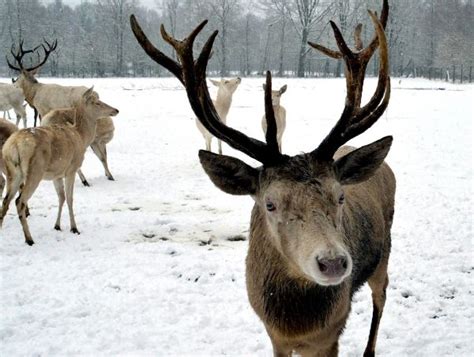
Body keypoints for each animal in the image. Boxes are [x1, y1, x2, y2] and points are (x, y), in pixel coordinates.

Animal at [0, 86, 118, 245]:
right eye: (97, 102)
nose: (116, 110)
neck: (82, 136)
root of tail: (14, 146)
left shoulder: (56, 174)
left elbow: (61, 197)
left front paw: (57, 226)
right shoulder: (71, 169)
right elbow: (70, 198)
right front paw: (74, 228)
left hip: (12, 171)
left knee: (6, 200)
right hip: (34, 172)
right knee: (20, 201)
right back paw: (29, 239)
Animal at [130, 0, 392, 354]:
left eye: (340, 196)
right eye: (269, 203)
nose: (334, 263)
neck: (294, 325)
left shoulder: (332, 332)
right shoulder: (273, 334)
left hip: (384, 253)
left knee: (382, 294)